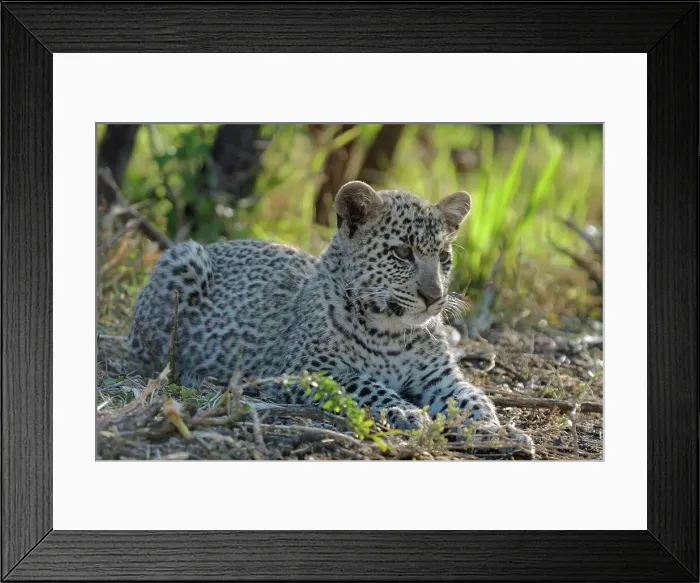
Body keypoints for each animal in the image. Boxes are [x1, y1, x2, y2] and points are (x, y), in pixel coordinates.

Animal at [125, 180, 535, 458]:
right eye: (402, 253)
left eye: (444, 258)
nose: (434, 298)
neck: (393, 332)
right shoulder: (306, 370)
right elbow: (364, 385)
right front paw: (404, 410)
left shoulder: (440, 379)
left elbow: (474, 400)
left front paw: (497, 432)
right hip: (184, 261)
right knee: (153, 354)